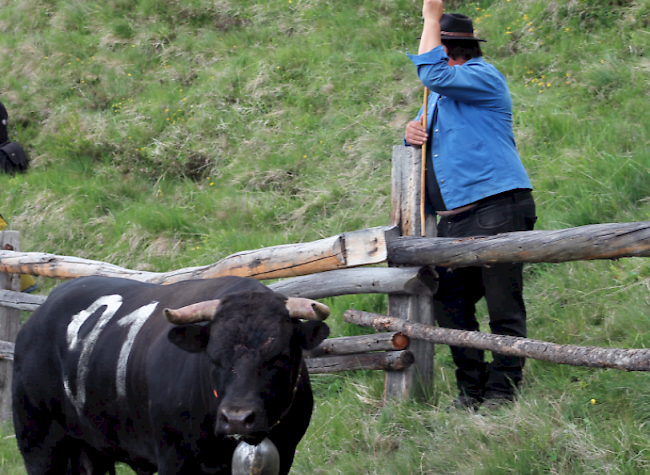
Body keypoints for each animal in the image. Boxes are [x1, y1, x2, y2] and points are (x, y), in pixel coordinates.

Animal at [11, 278, 330, 474]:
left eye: (280, 357)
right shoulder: (174, 460)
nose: (237, 418)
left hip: (90, 451)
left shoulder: (285, 452)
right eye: (213, 357)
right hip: (38, 444)